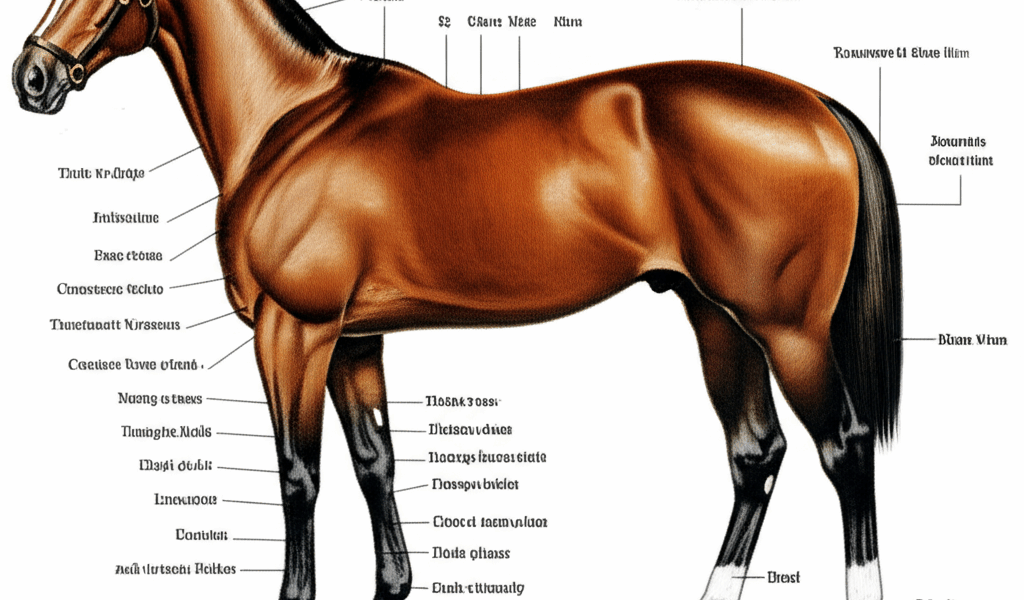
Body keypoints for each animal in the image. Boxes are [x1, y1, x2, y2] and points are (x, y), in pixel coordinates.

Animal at [13, 1, 902, 599]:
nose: (32, 76)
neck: (292, 123)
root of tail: (817, 107)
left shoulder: (293, 332)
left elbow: (300, 474)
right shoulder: (354, 340)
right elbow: (376, 464)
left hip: (787, 331)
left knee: (844, 447)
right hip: (716, 319)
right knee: (755, 454)